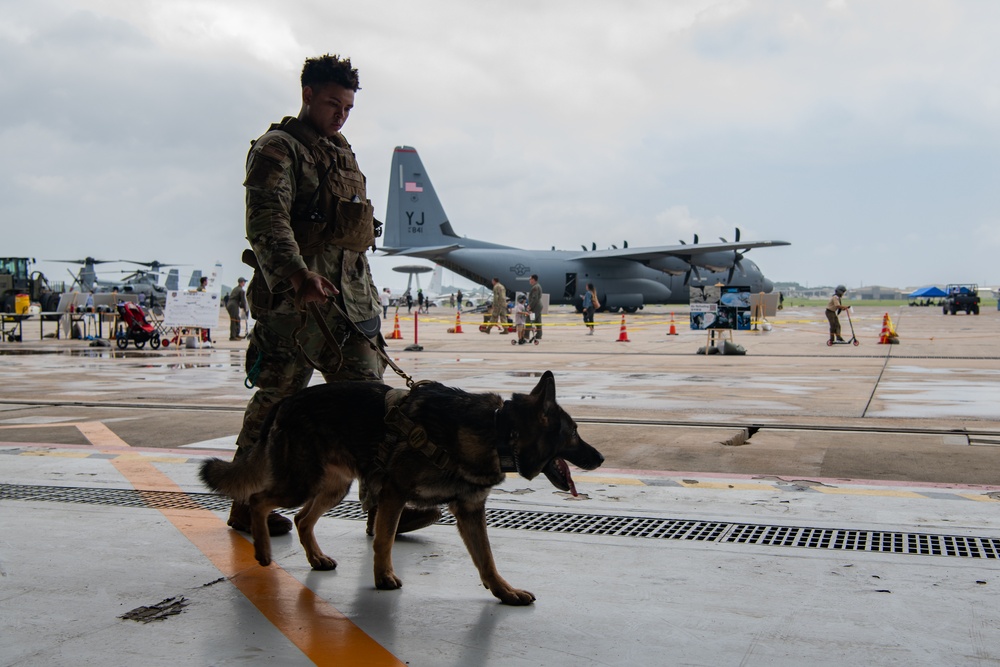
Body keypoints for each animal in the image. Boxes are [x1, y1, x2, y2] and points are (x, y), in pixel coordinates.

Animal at [199, 370, 596, 604]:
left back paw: (315, 557)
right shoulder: (394, 493)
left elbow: (486, 559)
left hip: (333, 487)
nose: (600, 457)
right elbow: (383, 539)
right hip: (300, 482)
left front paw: (504, 591)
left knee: (302, 519)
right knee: (258, 498)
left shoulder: (469, 512)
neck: (498, 431)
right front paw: (383, 577)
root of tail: (286, 400)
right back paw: (263, 549)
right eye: (574, 433)